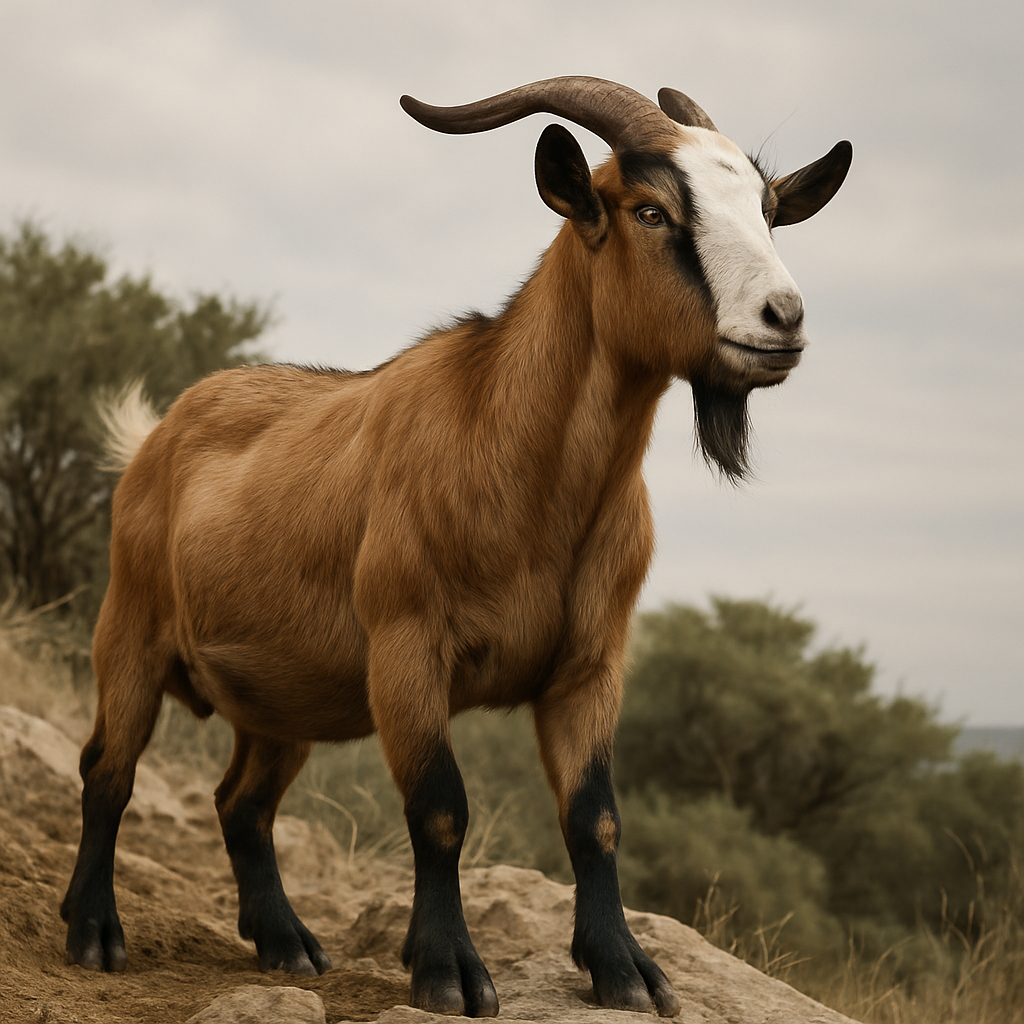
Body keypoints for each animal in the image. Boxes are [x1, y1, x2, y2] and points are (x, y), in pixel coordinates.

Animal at [61, 77, 851, 1017]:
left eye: (768, 212)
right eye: (651, 210)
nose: (783, 319)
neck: (524, 471)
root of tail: (157, 432)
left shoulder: (590, 665)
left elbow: (595, 818)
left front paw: (624, 969)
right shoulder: (408, 648)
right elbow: (441, 809)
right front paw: (448, 971)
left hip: (283, 694)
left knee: (241, 802)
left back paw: (287, 944)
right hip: (130, 629)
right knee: (108, 769)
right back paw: (92, 931)